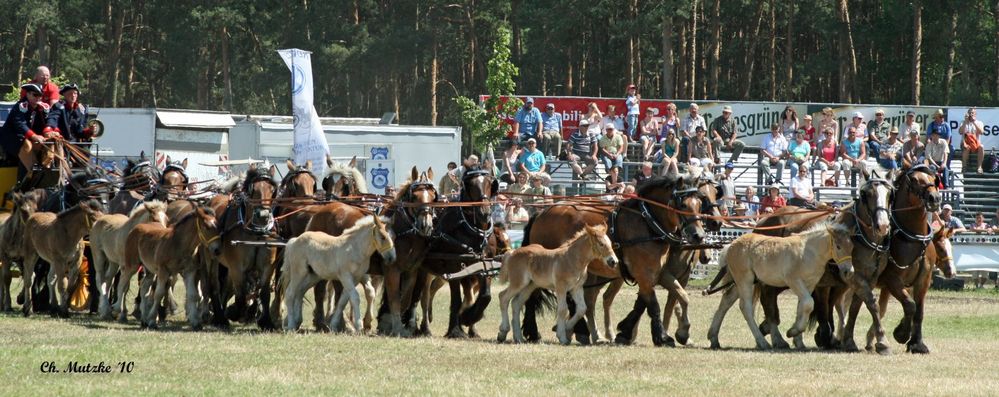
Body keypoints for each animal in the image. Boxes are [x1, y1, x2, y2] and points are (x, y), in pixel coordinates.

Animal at [520, 172, 708, 344]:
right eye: (682, 204)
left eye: (699, 204)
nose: (698, 236)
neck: (647, 223)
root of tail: (541, 213)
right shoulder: (644, 273)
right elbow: (653, 305)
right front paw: (660, 336)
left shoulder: (657, 273)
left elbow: (673, 297)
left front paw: (628, 331)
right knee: (534, 297)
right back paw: (536, 332)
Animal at [708, 221, 856, 348]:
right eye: (838, 246)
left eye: (852, 247)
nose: (849, 271)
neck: (808, 252)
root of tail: (730, 245)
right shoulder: (794, 281)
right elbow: (809, 303)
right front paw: (792, 332)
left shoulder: (809, 285)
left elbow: (802, 307)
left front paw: (797, 339)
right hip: (745, 281)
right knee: (746, 308)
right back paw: (763, 343)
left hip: (742, 282)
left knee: (726, 300)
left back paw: (713, 338)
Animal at [864, 224, 956, 352]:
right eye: (941, 249)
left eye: (951, 248)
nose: (952, 272)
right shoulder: (890, 285)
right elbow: (883, 309)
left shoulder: (905, 288)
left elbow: (910, 308)